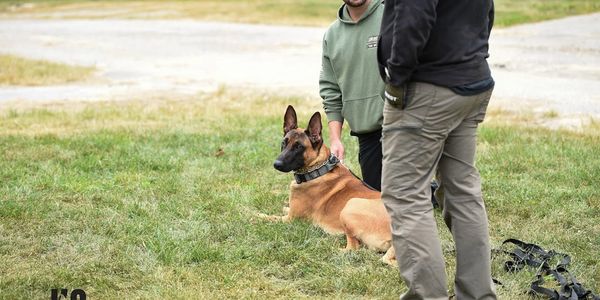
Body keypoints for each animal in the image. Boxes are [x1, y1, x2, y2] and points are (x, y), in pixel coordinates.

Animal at [256, 105, 394, 264]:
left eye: (299, 147)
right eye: (284, 142)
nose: (276, 164)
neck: (317, 169)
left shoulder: (290, 220)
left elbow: (268, 217)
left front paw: (252, 214)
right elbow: (284, 208)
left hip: (350, 206)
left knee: (353, 248)